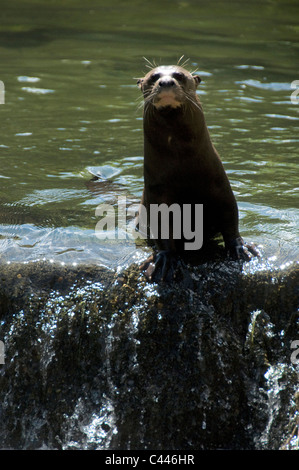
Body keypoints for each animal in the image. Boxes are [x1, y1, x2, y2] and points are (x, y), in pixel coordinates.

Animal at [137, 62, 258, 280]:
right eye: (154, 77)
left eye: (178, 75)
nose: (166, 82)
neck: (184, 170)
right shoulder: (156, 192)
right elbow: (162, 228)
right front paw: (165, 259)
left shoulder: (220, 184)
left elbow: (230, 217)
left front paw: (240, 248)